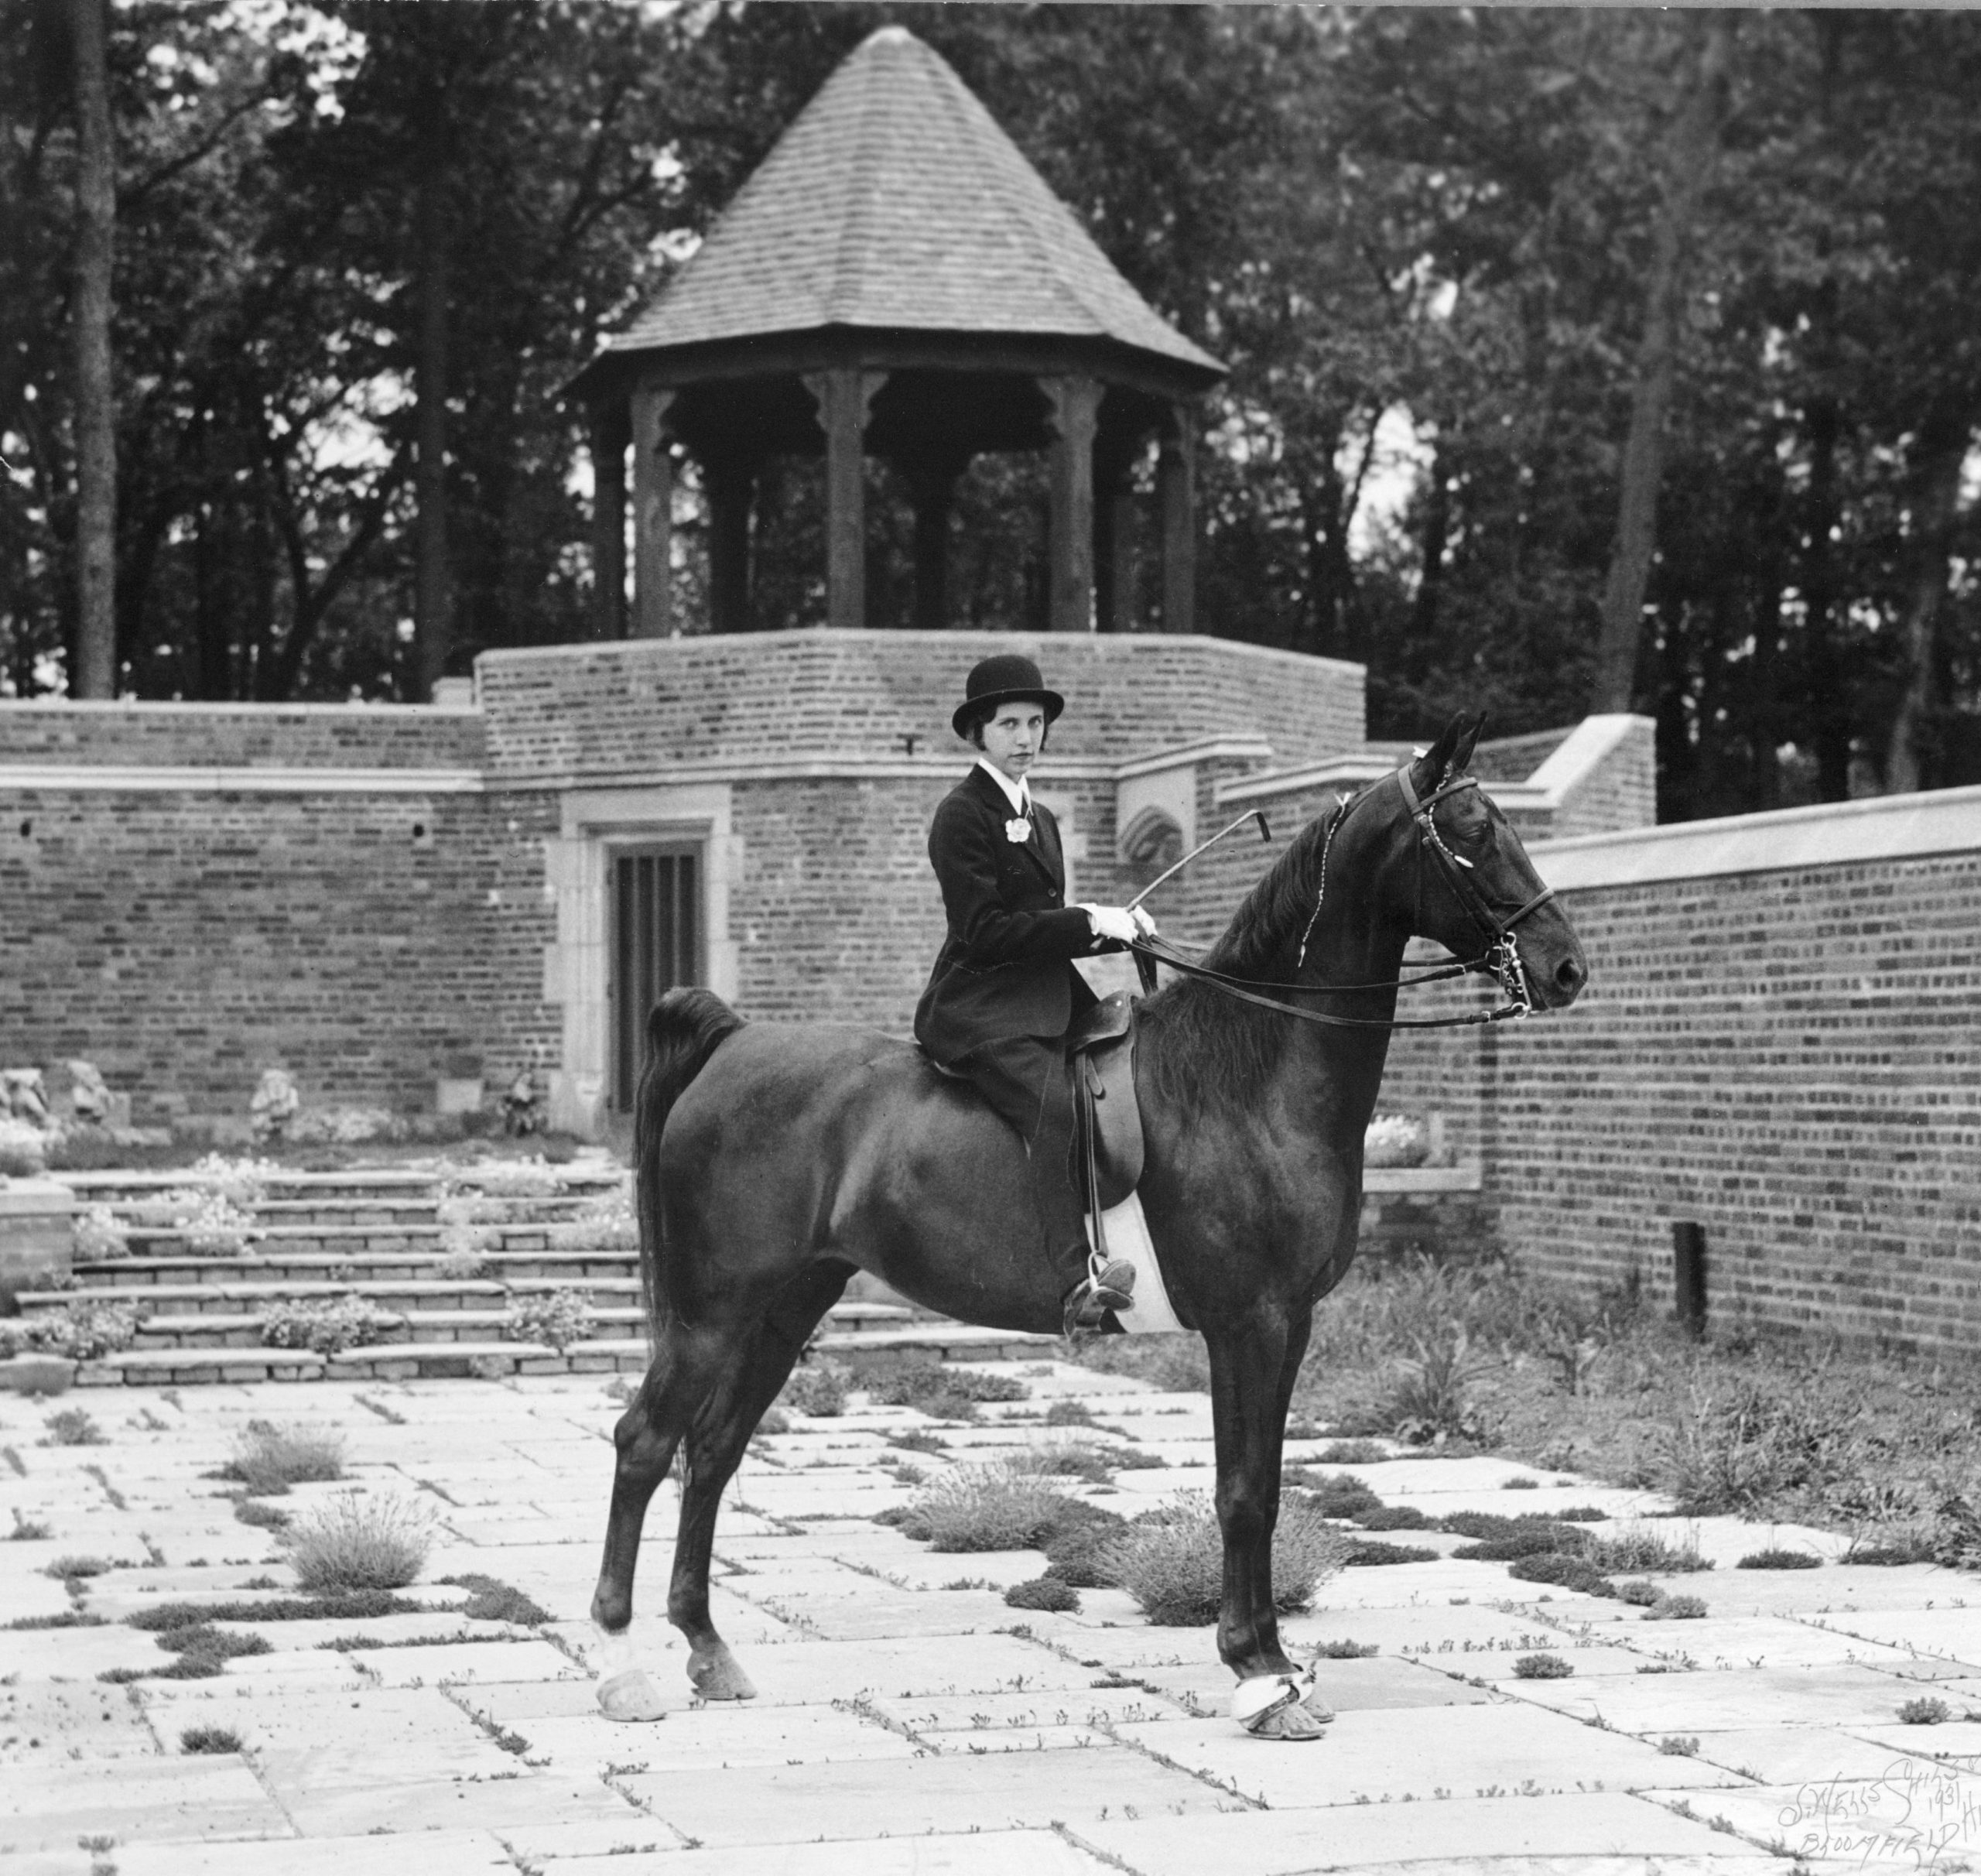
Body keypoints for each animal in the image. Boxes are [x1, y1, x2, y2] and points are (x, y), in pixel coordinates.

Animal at [590, 717, 1593, 1727]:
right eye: (1471, 829)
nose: (1564, 968)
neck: (1250, 1072)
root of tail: (733, 1040)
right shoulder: (1251, 1321)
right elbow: (1244, 1493)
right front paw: (1259, 1675)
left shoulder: (1289, 1322)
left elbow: (1265, 1487)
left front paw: (1274, 1663)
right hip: (712, 1312)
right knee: (645, 1444)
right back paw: (623, 1666)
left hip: (784, 1307)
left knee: (712, 1450)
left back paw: (707, 1649)